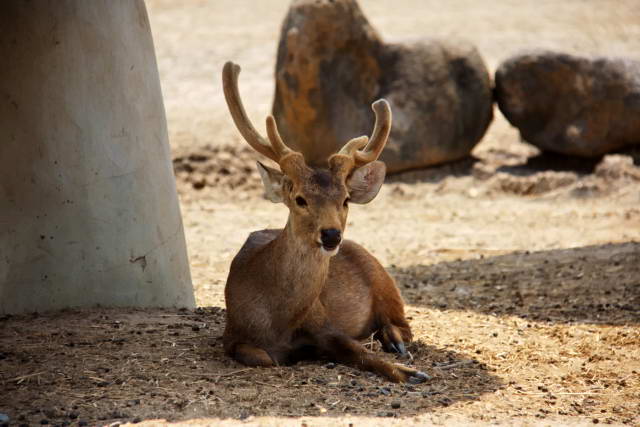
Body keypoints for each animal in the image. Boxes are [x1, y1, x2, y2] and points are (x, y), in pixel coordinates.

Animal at [221, 61, 430, 384]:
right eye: (300, 199)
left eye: (345, 199)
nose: (331, 235)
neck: (276, 321)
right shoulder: (231, 333)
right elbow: (261, 357)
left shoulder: (325, 323)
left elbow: (359, 351)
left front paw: (410, 372)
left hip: (384, 280)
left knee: (403, 325)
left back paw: (393, 340)